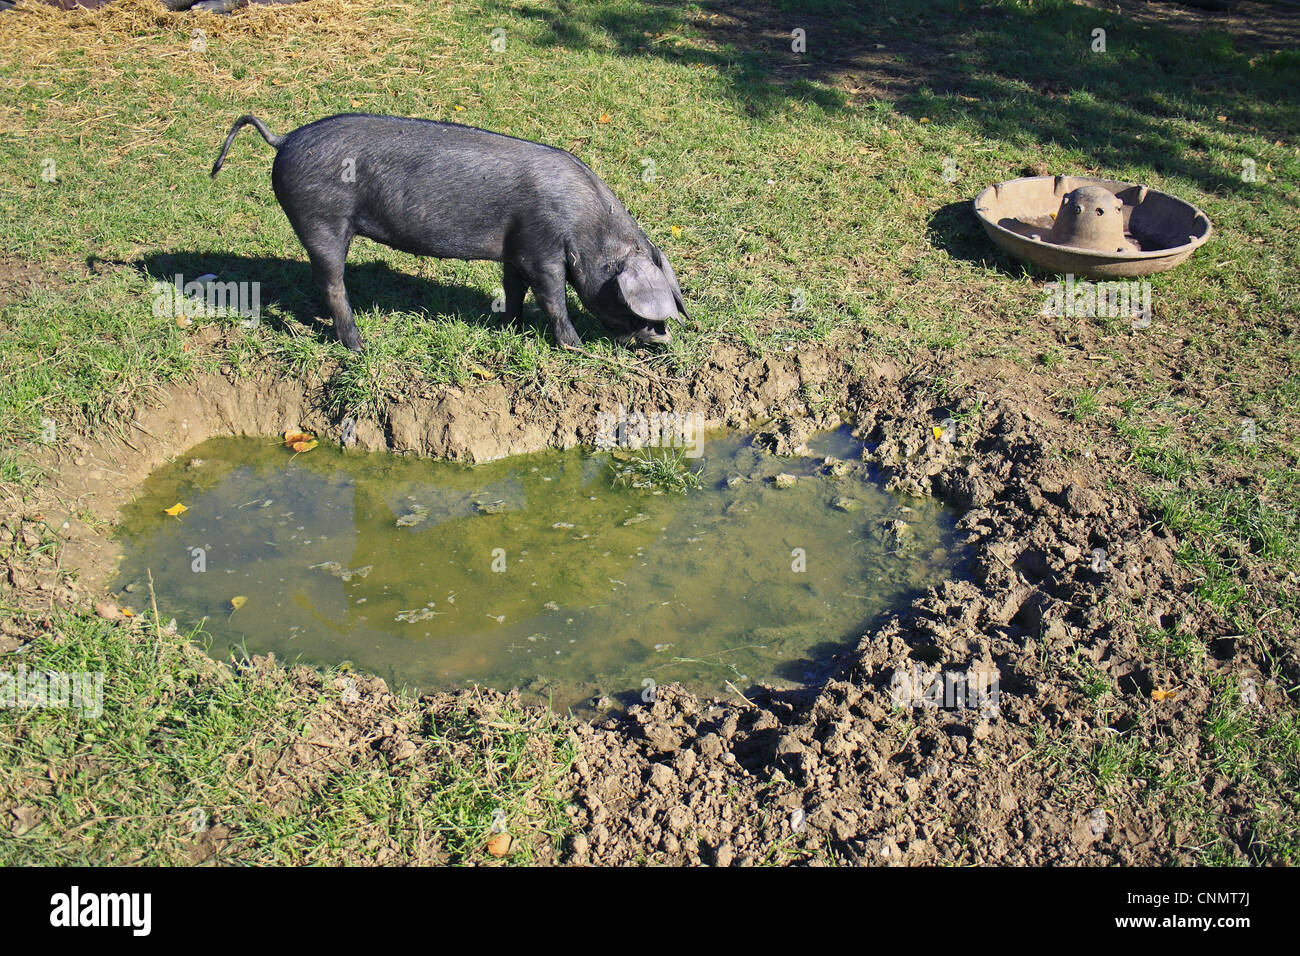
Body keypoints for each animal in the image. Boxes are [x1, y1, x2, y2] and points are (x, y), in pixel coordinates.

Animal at [208, 112, 686, 351]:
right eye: (623, 296)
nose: (660, 337)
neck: (587, 228)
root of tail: (284, 139)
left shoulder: (516, 249)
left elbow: (513, 288)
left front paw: (510, 326)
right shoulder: (542, 247)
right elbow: (553, 297)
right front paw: (575, 348)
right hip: (321, 219)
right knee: (332, 283)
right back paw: (360, 346)